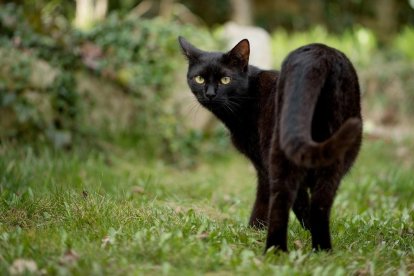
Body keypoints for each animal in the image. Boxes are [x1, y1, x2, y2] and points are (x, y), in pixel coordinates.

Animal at [178, 35, 362, 251]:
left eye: (225, 80)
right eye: (199, 79)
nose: (210, 94)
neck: (248, 97)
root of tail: (320, 53)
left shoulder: (262, 164)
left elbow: (264, 199)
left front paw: (252, 231)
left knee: (284, 198)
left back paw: (276, 250)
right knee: (320, 202)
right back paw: (322, 250)